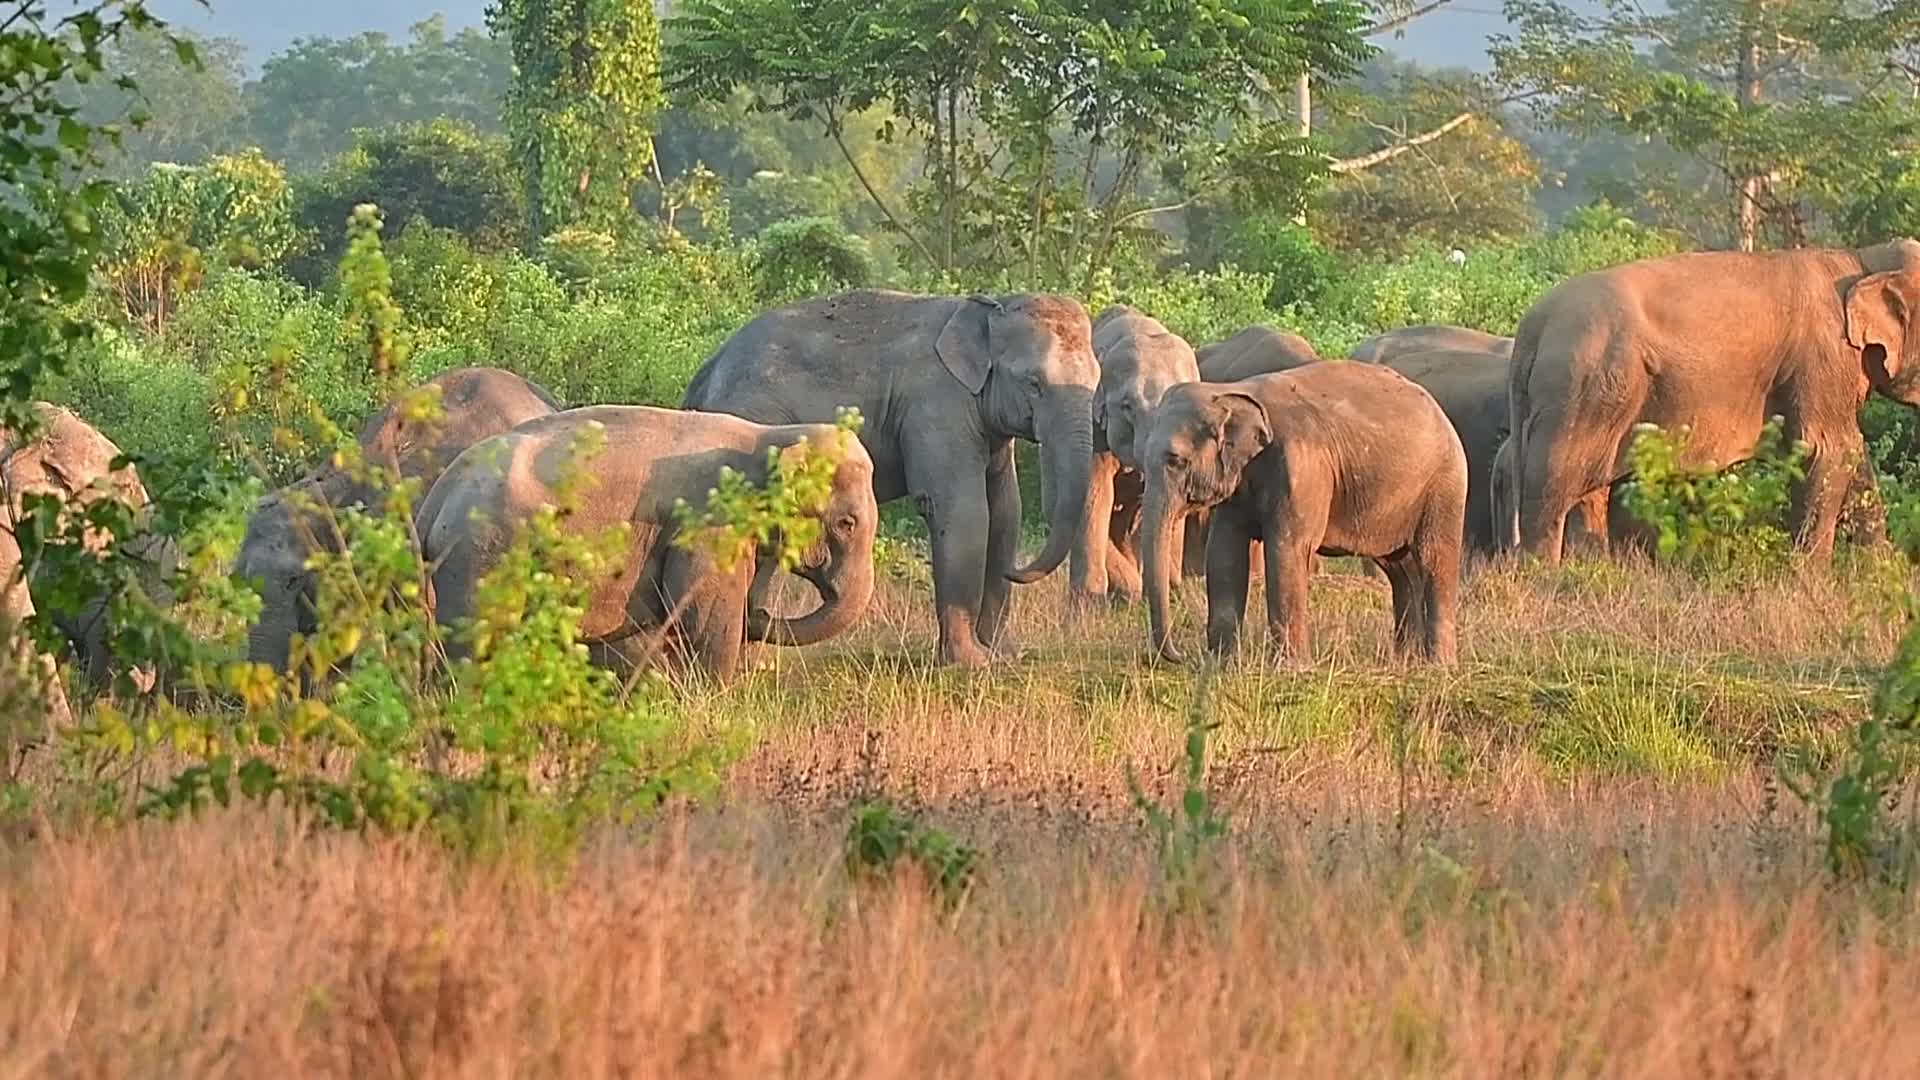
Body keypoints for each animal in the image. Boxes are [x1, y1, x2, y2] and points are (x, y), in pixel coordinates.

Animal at [417, 406, 879, 681]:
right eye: (847, 523)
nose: (762, 611)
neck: (772, 436)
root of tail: (436, 499)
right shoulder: (708, 524)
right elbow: (706, 621)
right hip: (482, 553)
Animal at [682, 290, 1100, 668]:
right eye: (1033, 383)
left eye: (1097, 382)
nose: (1017, 571)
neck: (988, 307)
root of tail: (704, 375)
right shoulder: (935, 406)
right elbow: (963, 511)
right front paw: (972, 664)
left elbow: (1005, 513)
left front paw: (1005, 655)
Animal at [1139, 363, 1466, 666]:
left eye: (1176, 461)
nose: (1183, 656)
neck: (1230, 391)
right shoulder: (1238, 487)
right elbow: (1224, 552)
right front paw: (1222, 664)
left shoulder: (1302, 469)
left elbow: (1287, 549)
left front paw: (1291, 669)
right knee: (1400, 568)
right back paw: (1404, 662)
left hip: (1444, 486)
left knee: (1433, 559)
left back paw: (1438, 666)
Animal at [1508, 240, 1920, 564]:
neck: (1864, 259)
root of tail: (1531, 328)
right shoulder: (1822, 359)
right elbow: (1825, 449)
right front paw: (1810, 580)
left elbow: (1853, 455)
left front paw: (1881, 570)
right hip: (1585, 384)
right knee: (1556, 480)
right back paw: (1543, 575)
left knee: (1590, 487)